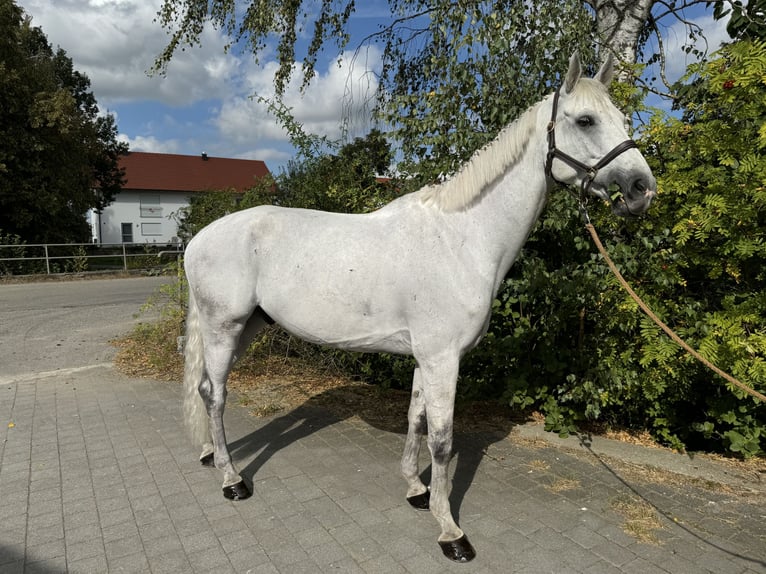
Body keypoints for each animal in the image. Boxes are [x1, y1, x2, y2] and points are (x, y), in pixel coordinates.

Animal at [183, 51, 656, 564]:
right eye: (585, 120)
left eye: (623, 119)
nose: (642, 188)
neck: (460, 239)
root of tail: (198, 239)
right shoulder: (443, 358)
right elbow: (443, 440)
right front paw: (450, 531)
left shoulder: (424, 357)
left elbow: (416, 418)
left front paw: (414, 489)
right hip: (223, 328)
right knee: (214, 393)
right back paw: (232, 479)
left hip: (247, 326)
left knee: (207, 389)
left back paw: (211, 457)